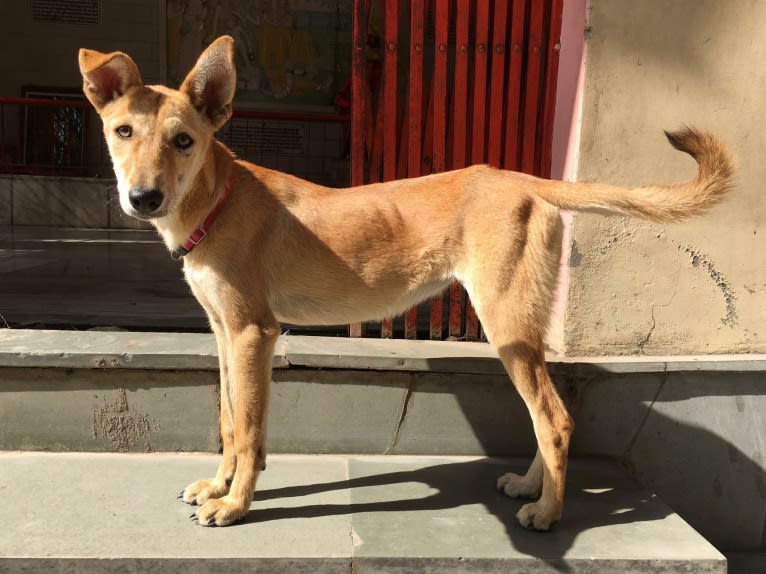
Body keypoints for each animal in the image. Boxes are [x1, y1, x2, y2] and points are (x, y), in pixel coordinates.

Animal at [76, 36, 732, 532]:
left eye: (184, 140)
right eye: (123, 132)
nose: (143, 198)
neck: (216, 202)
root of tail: (523, 178)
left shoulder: (254, 335)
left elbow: (251, 433)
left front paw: (236, 506)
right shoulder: (223, 335)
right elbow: (228, 422)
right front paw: (216, 488)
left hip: (506, 324)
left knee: (554, 418)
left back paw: (548, 513)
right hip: (518, 333)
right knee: (546, 417)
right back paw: (529, 486)